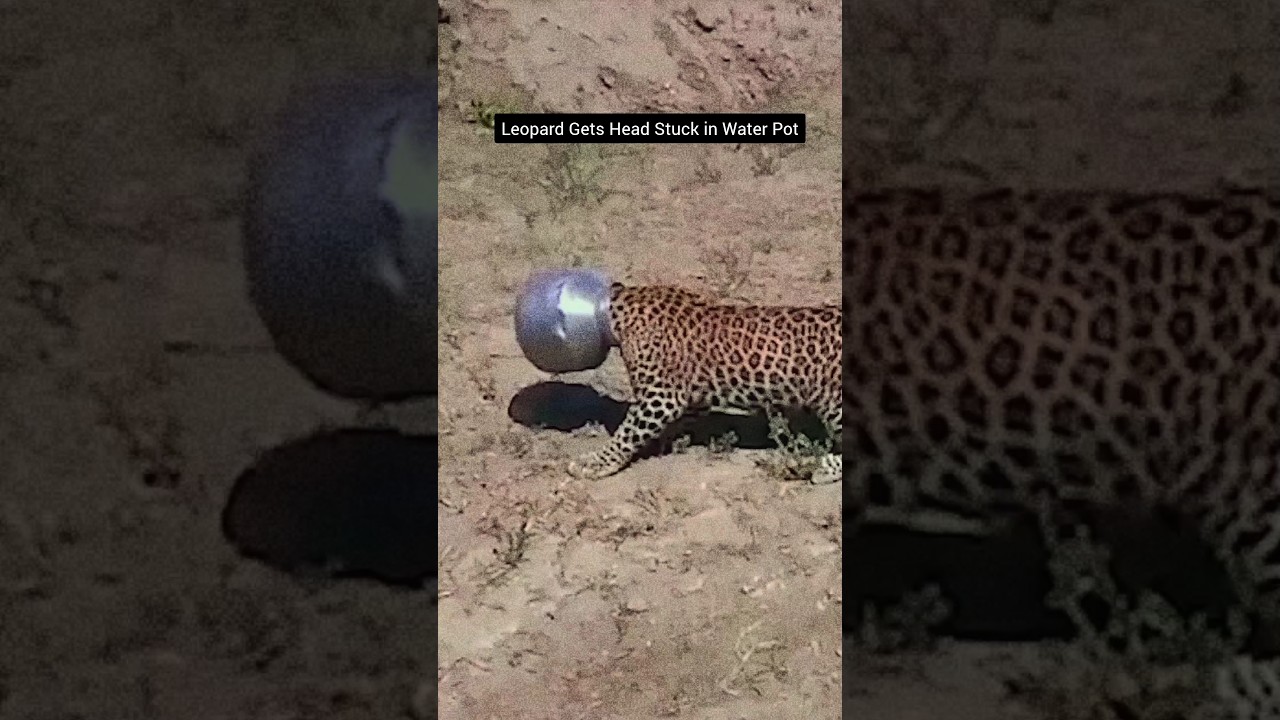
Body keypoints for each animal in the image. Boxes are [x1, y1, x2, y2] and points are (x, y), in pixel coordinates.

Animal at [564, 283, 842, 483]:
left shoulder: (660, 396)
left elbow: (627, 432)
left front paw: (594, 462)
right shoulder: (692, 394)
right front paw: (668, 441)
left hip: (834, 400)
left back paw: (823, 467)